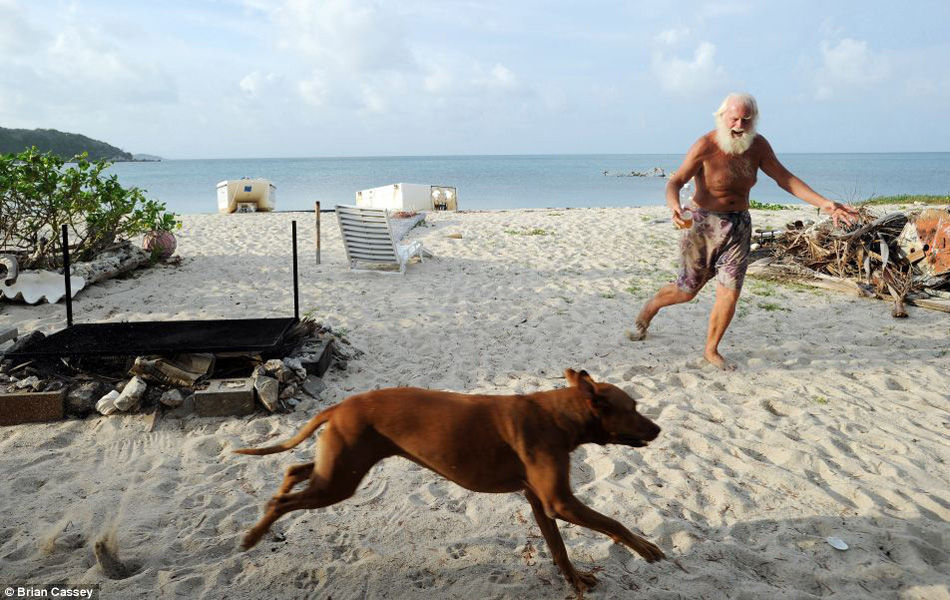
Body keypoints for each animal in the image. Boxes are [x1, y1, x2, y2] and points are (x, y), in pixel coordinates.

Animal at [237, 368, 664, 592]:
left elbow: (558, 548)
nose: (659, 428)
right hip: (341, 480)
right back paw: (253, 536)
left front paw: (574, 582)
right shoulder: (560, 502)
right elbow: (614, 522)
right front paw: (646, 548)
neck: (560, 415)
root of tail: (340, 405)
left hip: (339, 467)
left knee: (294, 469)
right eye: (633, 408)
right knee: (281, 501)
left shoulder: (540, 502)